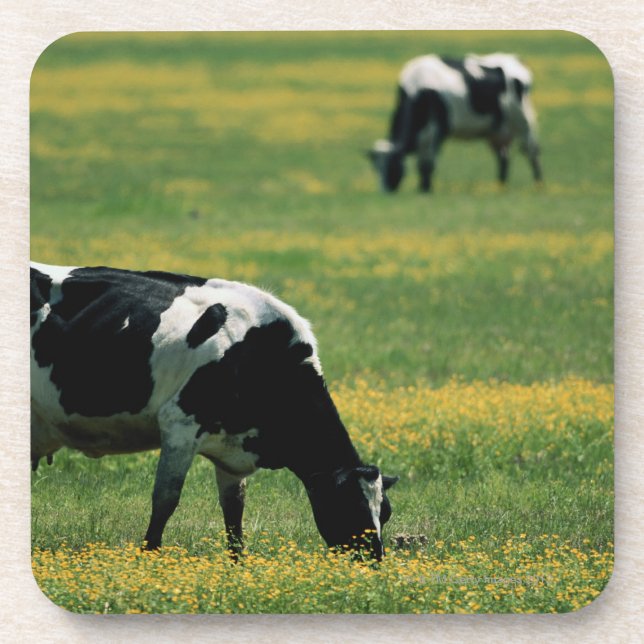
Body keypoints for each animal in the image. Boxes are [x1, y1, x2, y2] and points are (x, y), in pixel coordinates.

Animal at [30, 262, 398, 561]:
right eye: (349, 506)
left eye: (386, 513)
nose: (374, 561)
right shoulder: (180, 425)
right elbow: (165, 499)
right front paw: (149, 556)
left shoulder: (233, 450)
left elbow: (234, 513)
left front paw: (238, 566)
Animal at [368, 53, 543, 193]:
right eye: (377, 168)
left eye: (392, 165)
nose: (385, 191)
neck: (418, 88)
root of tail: (514, 58)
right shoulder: (424, 135)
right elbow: (421, 164)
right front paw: (422, 188)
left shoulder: (439, 130)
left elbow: (428, 164)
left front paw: (426, 190)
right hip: (497, 131)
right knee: (503, 158)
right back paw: (500, 187)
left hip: (525, 122)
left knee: (532, 152)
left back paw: (538, 186)